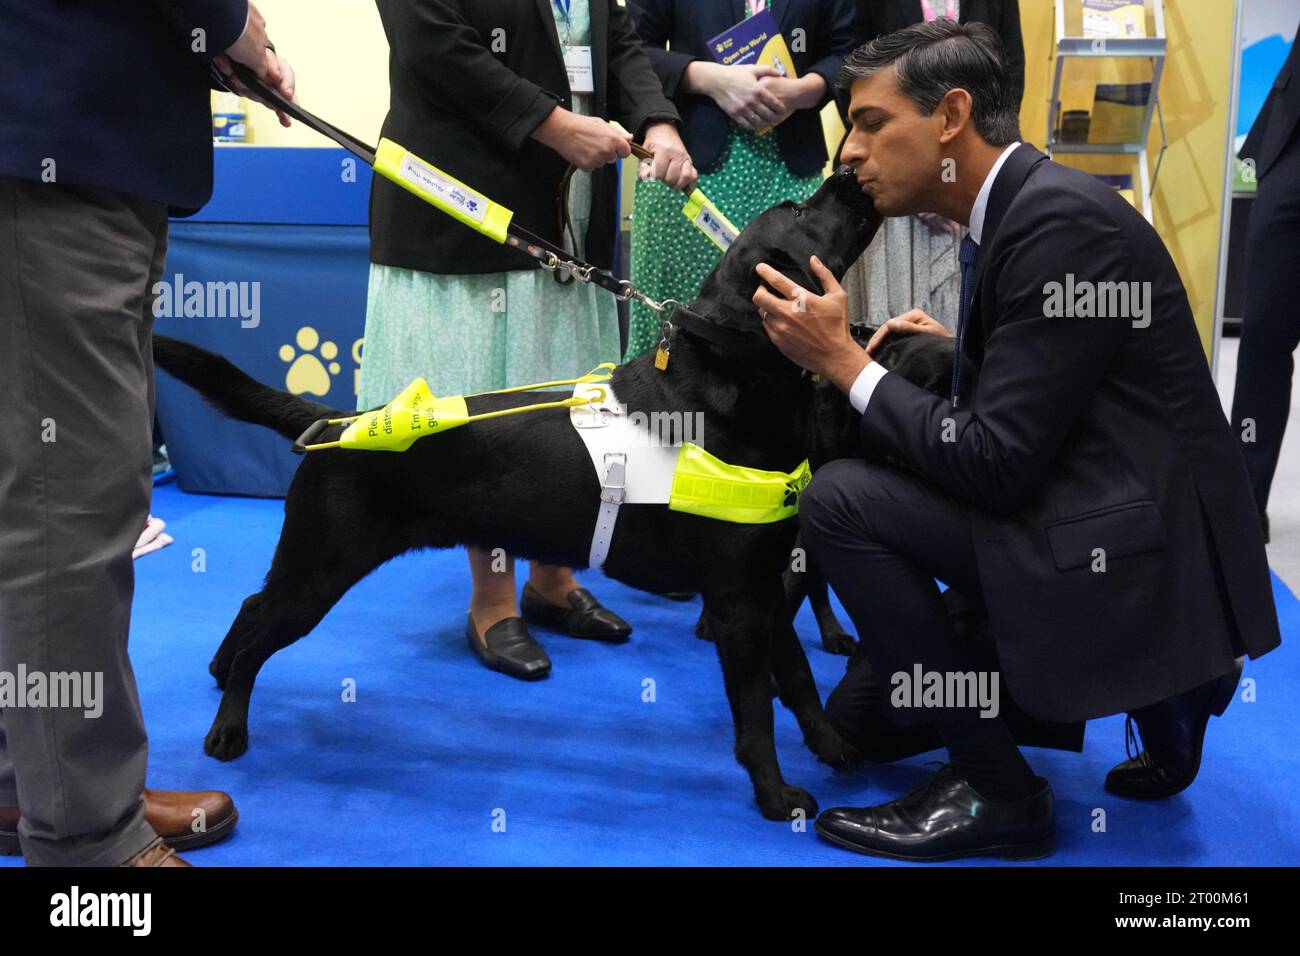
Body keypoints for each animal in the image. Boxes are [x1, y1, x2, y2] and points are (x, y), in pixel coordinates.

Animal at [157, 166, 956, 822]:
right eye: (798, 207)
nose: (849, 169)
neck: (738, 384)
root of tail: (340, 420)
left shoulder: (764, 585)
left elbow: (798, 678)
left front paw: (829, 745)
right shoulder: (736, 600)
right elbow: (756, 710)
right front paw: (775, 795)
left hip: (315, 563)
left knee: (252, 606)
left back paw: (219, 674)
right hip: (323, 562)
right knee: (262, 627)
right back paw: (228, 727)